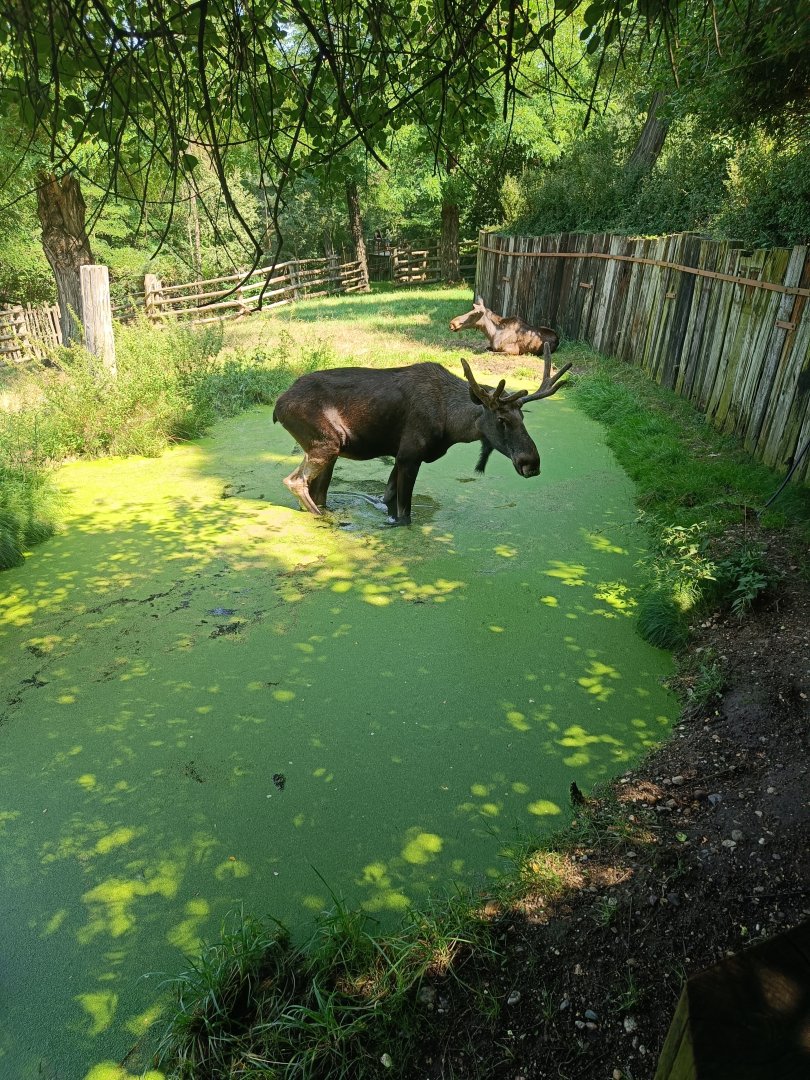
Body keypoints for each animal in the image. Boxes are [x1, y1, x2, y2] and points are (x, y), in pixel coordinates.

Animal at [272, 344, 571, 525]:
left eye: (522, 417)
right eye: (501, 419)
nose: (531, 462)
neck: (451, 425)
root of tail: (277, 407)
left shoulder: (400, 456)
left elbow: (389, 500)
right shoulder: (409, 454)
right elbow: (405, 515)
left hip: (325, 449)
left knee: (317, 492)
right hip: (327, 443)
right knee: (294, 481)